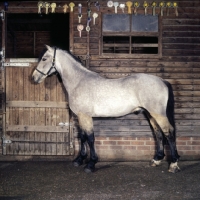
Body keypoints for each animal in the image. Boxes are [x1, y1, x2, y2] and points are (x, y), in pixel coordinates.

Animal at [32, 45, 180, 173]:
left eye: (44, 58)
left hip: (158, 114)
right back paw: (156, 160)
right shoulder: (80, 116)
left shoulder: (85, 116)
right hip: (151, 114)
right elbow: (82, 137)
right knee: (158, 133)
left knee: (168, 133)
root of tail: (162, 81)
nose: (34, 78)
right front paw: (79, 160)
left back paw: (173, 164)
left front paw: (91, 164)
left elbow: (90, 138)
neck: (79, 82)